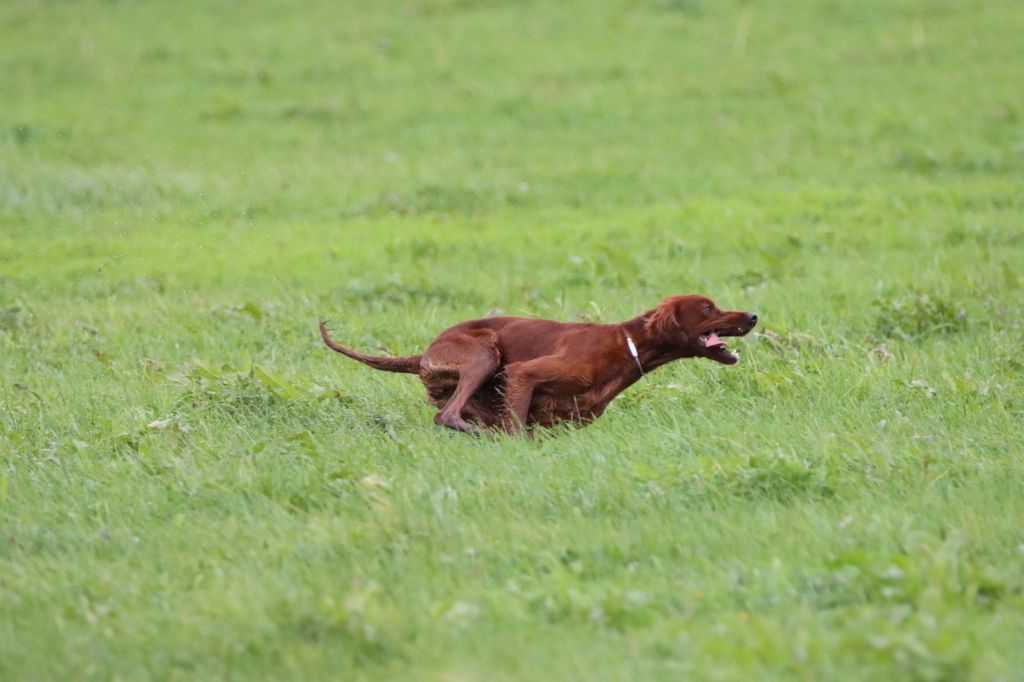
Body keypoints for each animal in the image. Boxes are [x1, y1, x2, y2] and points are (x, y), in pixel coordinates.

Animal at [317, 292, 753, 432]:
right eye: (709, 308)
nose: (753, 316)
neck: (626, 344)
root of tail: (425, 352)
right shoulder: (523, 375)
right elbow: (517, 429)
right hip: (484, 354)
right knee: (448, 416)